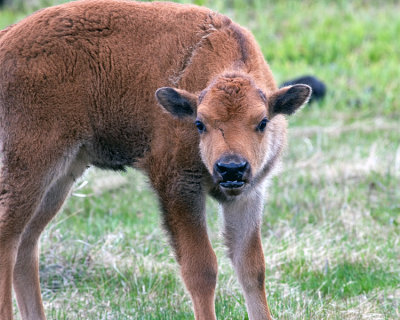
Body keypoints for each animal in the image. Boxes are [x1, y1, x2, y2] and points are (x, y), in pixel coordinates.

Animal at [0, 1, 310, 318]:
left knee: (27, 243)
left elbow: (252, 268)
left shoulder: (248, 195)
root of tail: (6, 40)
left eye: (262, 122)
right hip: (29, 167)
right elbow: (201, 269)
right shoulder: (179, 187)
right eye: (199, 123)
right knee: (8, 239)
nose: (231, 168)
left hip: (60, 178)